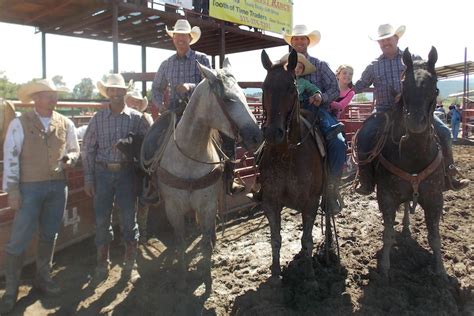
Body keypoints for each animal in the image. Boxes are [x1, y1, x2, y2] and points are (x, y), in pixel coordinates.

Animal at [260, 49, 326, 278]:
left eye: (291, 87)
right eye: (264, 87)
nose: (273, 132)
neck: (287, 154)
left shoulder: (311, 202)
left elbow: (307, 239)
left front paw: (310, 275)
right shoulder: (270, 202)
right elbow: (275, 240)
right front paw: (275, 274)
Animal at [372, 46, 446, 276]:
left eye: (435, 85)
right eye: (404, 83)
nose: (415, 121)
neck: (413, 155)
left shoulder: (434, 198)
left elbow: (435, 237)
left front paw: (441, 270)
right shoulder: (386, 196)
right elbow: (387, 234)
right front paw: (384, 268)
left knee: (406, 207)